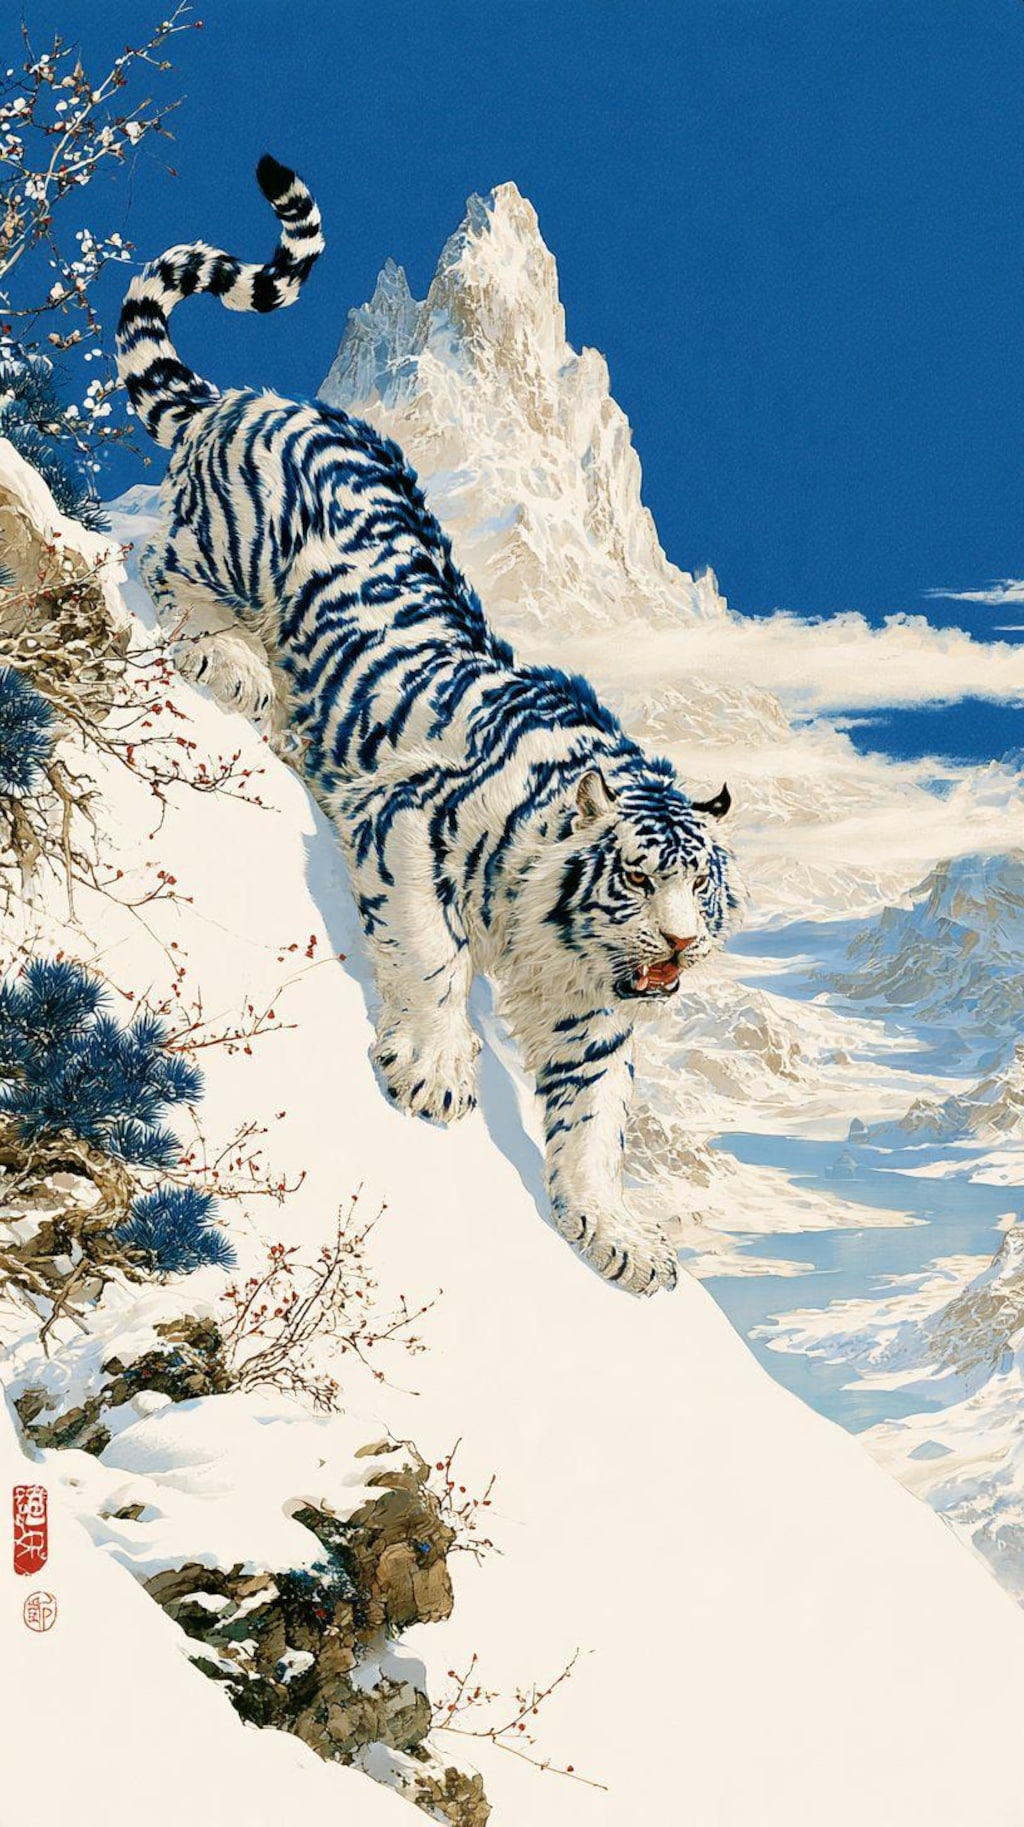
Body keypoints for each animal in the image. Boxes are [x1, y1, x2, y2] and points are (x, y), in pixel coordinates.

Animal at [116, 155, 741, 1296]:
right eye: (636, 877)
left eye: (701, 890)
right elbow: (431, 952)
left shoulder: (593, 1015)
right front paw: (436, 1075)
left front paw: (618, 1236)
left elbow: (595, 1121)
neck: (564, 944)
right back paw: (240, 669)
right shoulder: (415, 825)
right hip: (227, 549)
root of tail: (251, 399)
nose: (679, 946)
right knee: (165, 564)